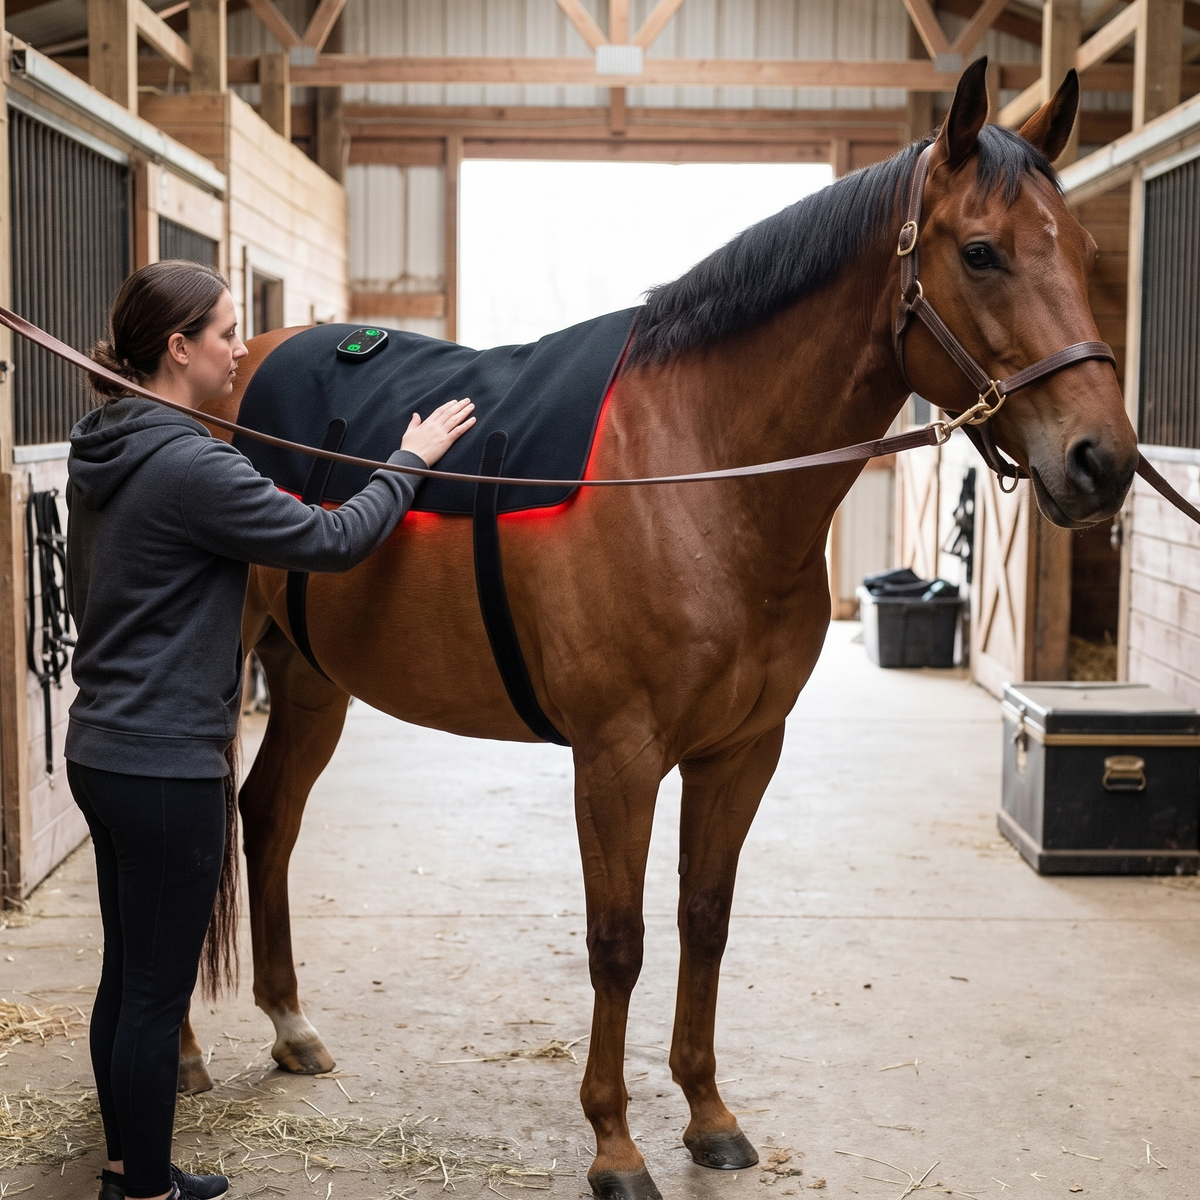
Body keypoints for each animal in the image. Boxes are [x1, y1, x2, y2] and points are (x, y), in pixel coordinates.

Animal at [178, 59, 1138, 1200]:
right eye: (982, 252)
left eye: (1083, 254)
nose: (1103, 463)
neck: (698, 471)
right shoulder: (618, 758)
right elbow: (619, 940)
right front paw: (615, 1145)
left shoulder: (742, 752)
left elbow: (704, 922)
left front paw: (709, 1116)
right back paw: (181, 1057)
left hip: (313, 676)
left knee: (267, 817)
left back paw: (290, 1027)